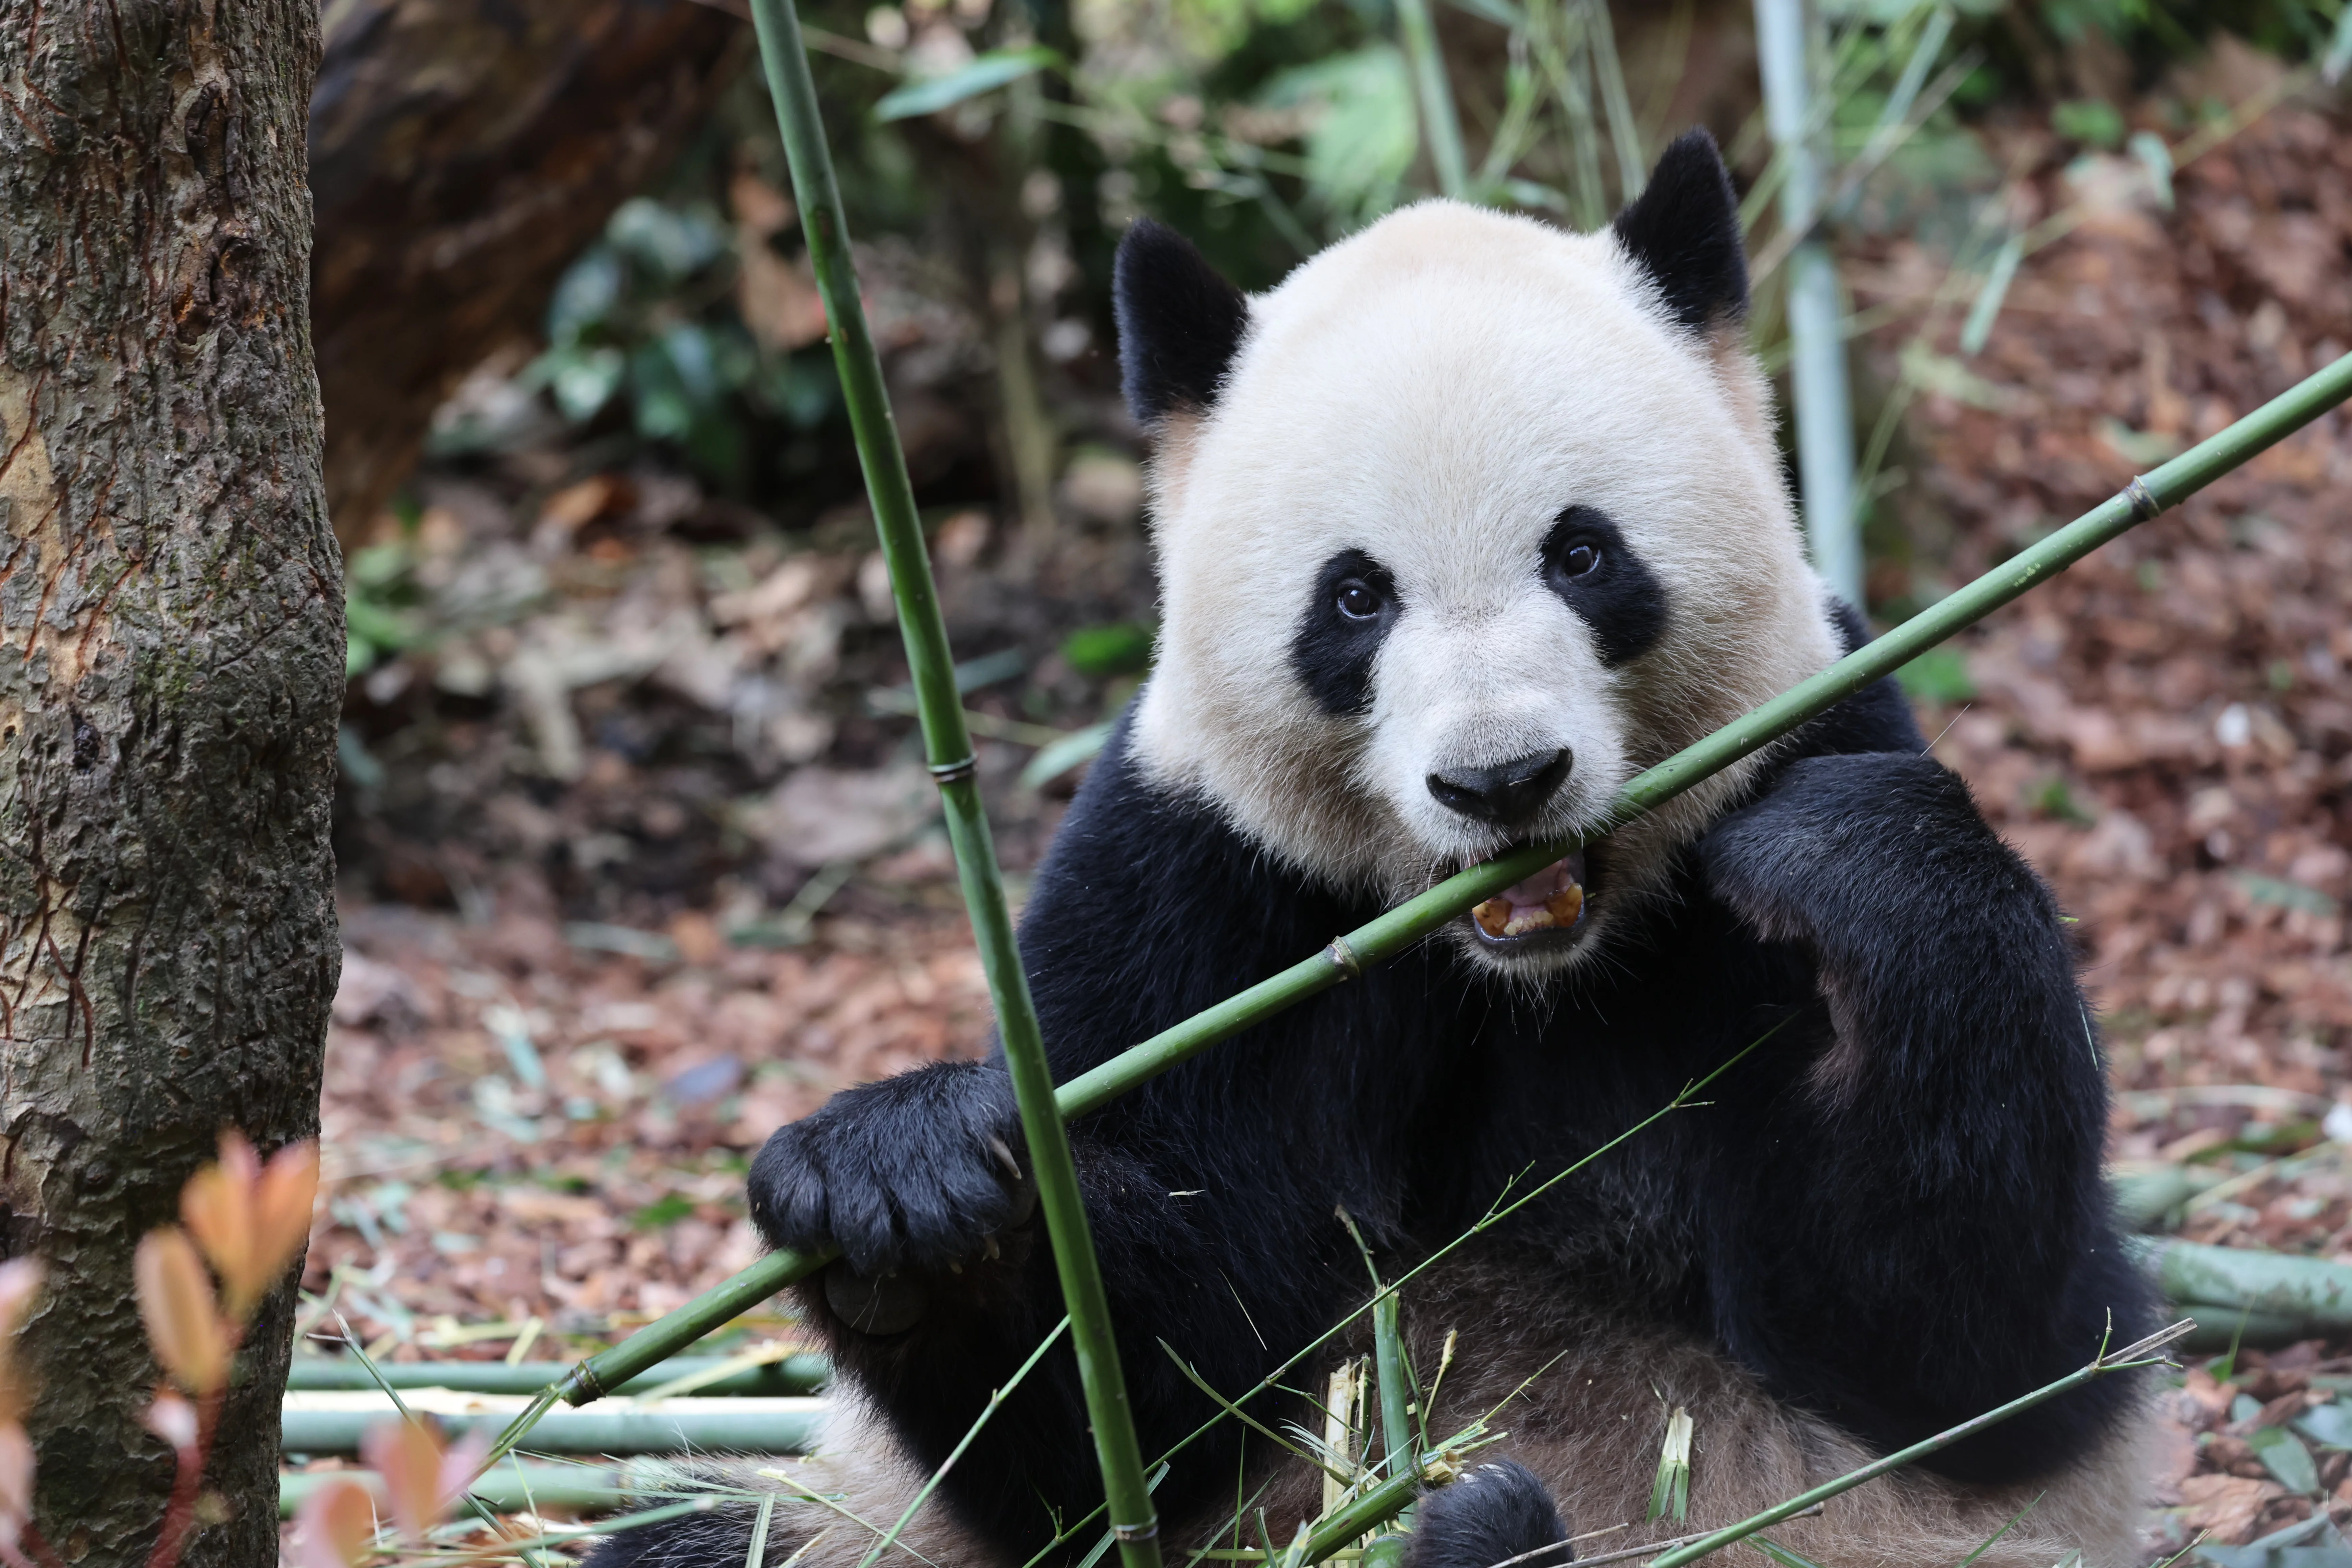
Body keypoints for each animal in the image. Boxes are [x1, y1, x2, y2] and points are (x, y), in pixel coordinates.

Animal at [597, 131, 2151, 1568]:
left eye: (1582, 553)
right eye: (1354, 597)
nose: (1501, 779)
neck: (1526, 971)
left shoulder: (1820, 722)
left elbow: (1976, 1352)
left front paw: (1845, 859)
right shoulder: (1196, 886)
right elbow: (1119, 1424)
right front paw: (902, 1194)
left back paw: (1485, 1527)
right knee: (708, 1534)